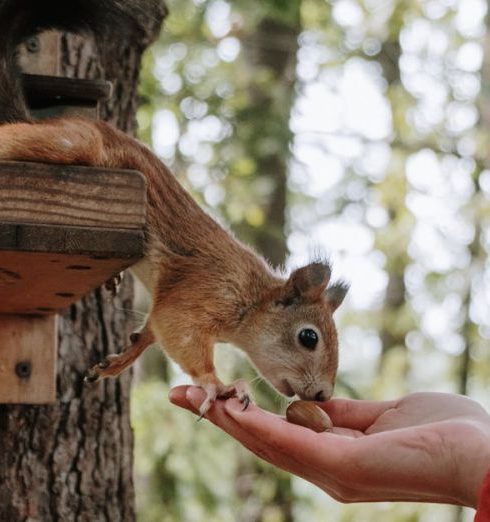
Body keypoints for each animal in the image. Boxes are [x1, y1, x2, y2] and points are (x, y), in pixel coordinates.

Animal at [0, 0, 348, 416]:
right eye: (308, 337)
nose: (323, 395)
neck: (250, 298)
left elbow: (152, 327)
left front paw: (118, 360)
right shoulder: (205, 291)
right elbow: (176, 328)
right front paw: (219, 384)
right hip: (75, 144)